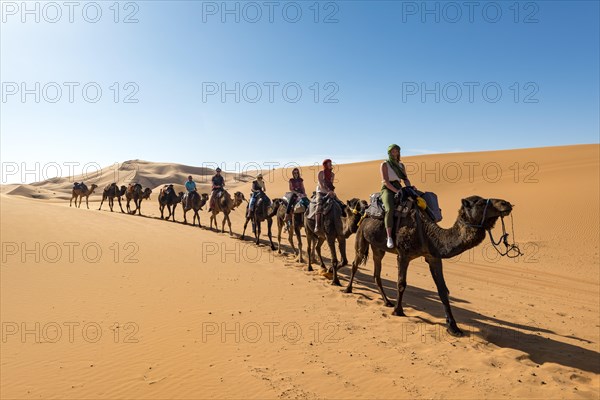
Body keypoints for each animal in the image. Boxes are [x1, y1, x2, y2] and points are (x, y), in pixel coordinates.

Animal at [344, 195, 512, 336]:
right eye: (480, 203)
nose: (506, 203)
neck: (427, 233)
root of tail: (365, 214)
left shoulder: (434, 257)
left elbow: (443, 290)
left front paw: (453, 327)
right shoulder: (403, 255)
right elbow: (401, 283)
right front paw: (398, 311)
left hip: (378, 247)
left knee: (376, 273)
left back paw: (386, 301)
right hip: (361, 237)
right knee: (355, 263)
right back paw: (348, 289)